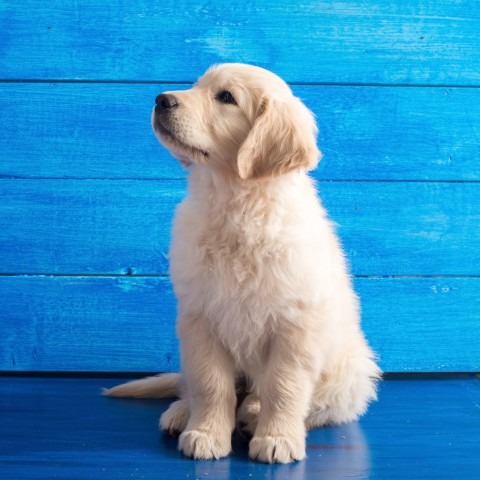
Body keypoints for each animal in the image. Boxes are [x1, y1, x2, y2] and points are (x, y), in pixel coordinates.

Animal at [106, 64, 382, 464]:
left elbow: (284, 386)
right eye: (196, 85)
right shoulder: (200, 317)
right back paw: (182, 413)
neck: (234, 203)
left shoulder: (295, 324)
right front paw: (205, 433)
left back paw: (253, 415)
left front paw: (277, 437)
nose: (161, 99)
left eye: (226, 97)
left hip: (348, 373)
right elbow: (210, 384)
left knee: (310, 402)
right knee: (193, 385)